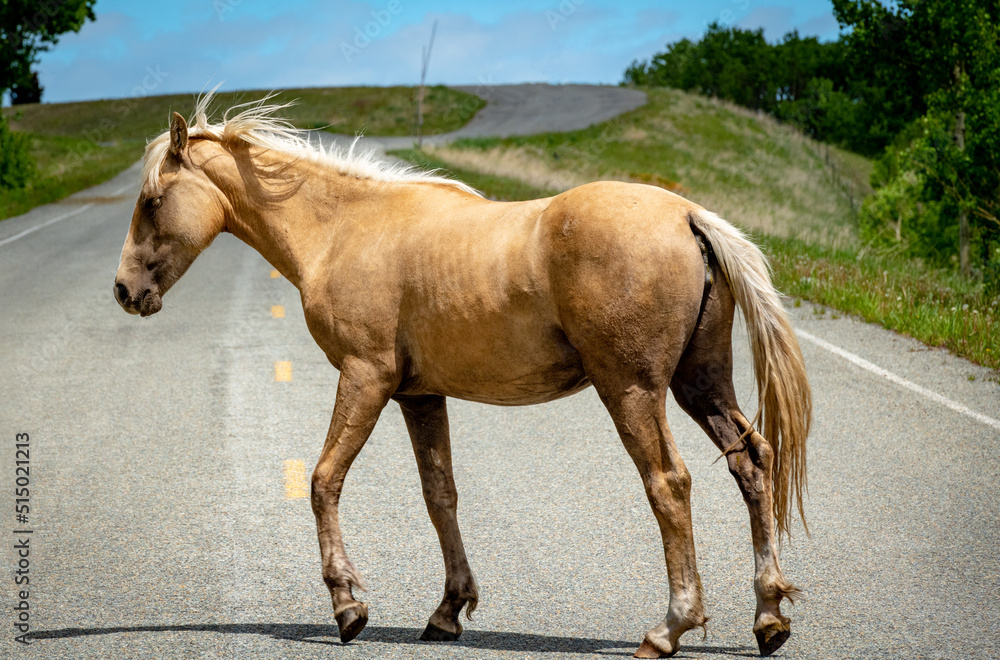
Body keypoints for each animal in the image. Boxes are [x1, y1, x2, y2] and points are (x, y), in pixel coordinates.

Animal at [113, 95, 810, 658]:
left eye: (152, 201)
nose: (123, 290)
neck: (343, 228)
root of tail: (688, 215)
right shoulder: (420, 397)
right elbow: (439, 495)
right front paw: (448, 610)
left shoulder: (366, 380)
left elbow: (323, 480)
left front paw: (348, 605)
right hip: (701, 385)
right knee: (752, 463)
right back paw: (768, 616)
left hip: (633, 392)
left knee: (669, 483)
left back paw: (669, 628)